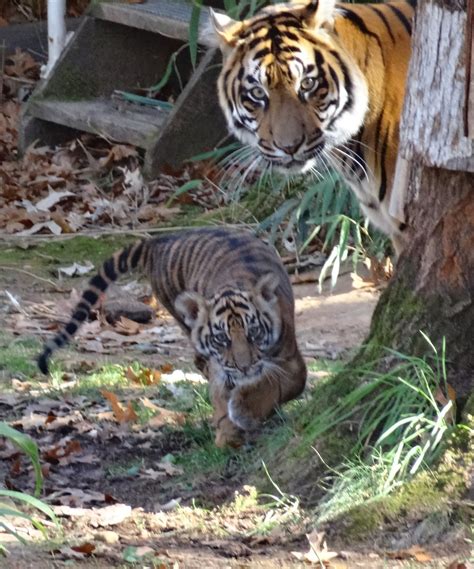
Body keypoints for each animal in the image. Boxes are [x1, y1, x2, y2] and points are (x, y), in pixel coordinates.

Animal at [36, 229, 304, 446]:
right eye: (221, 339)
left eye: (254, 332)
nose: (244, 367)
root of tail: (159, 240)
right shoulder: (223, 367)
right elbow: (223, 392)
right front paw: (228, 432)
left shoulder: (292, 365)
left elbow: (270, 386)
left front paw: (244, 412)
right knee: (203, 366)